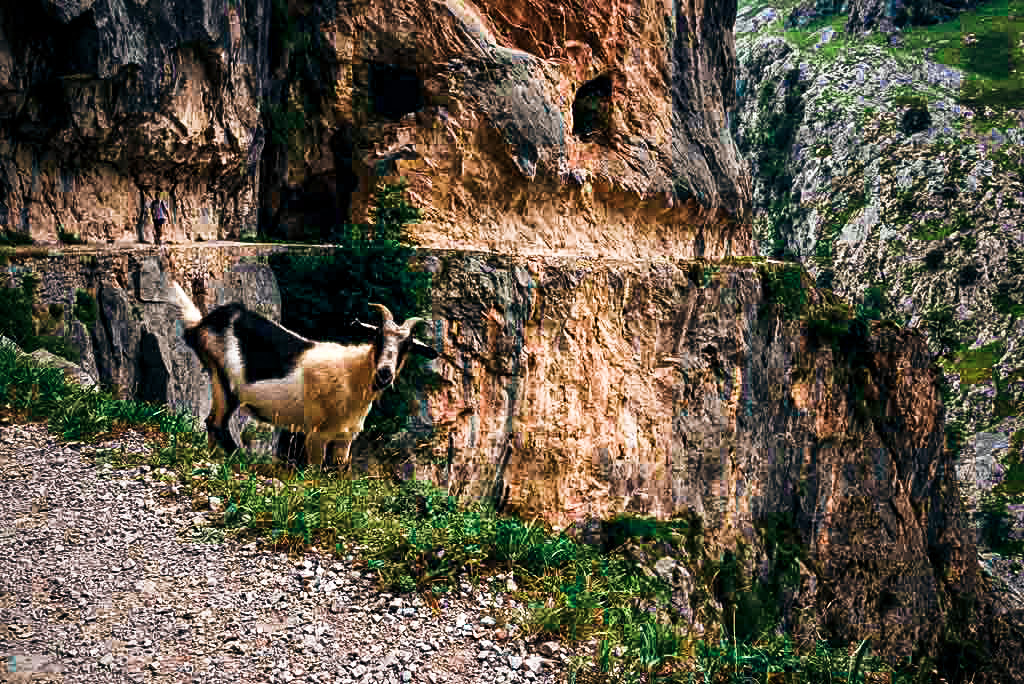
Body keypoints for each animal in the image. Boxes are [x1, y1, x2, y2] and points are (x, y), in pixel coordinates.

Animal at [168, 282, 440, 471]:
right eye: (377, 336)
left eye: (408, 346)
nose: (384, 374)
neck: (353, 376)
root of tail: (201, 324)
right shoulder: (316, 435)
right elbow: (315, 473)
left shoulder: (345, 439)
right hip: (224, 383)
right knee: (217, 424)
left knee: (212, 425)